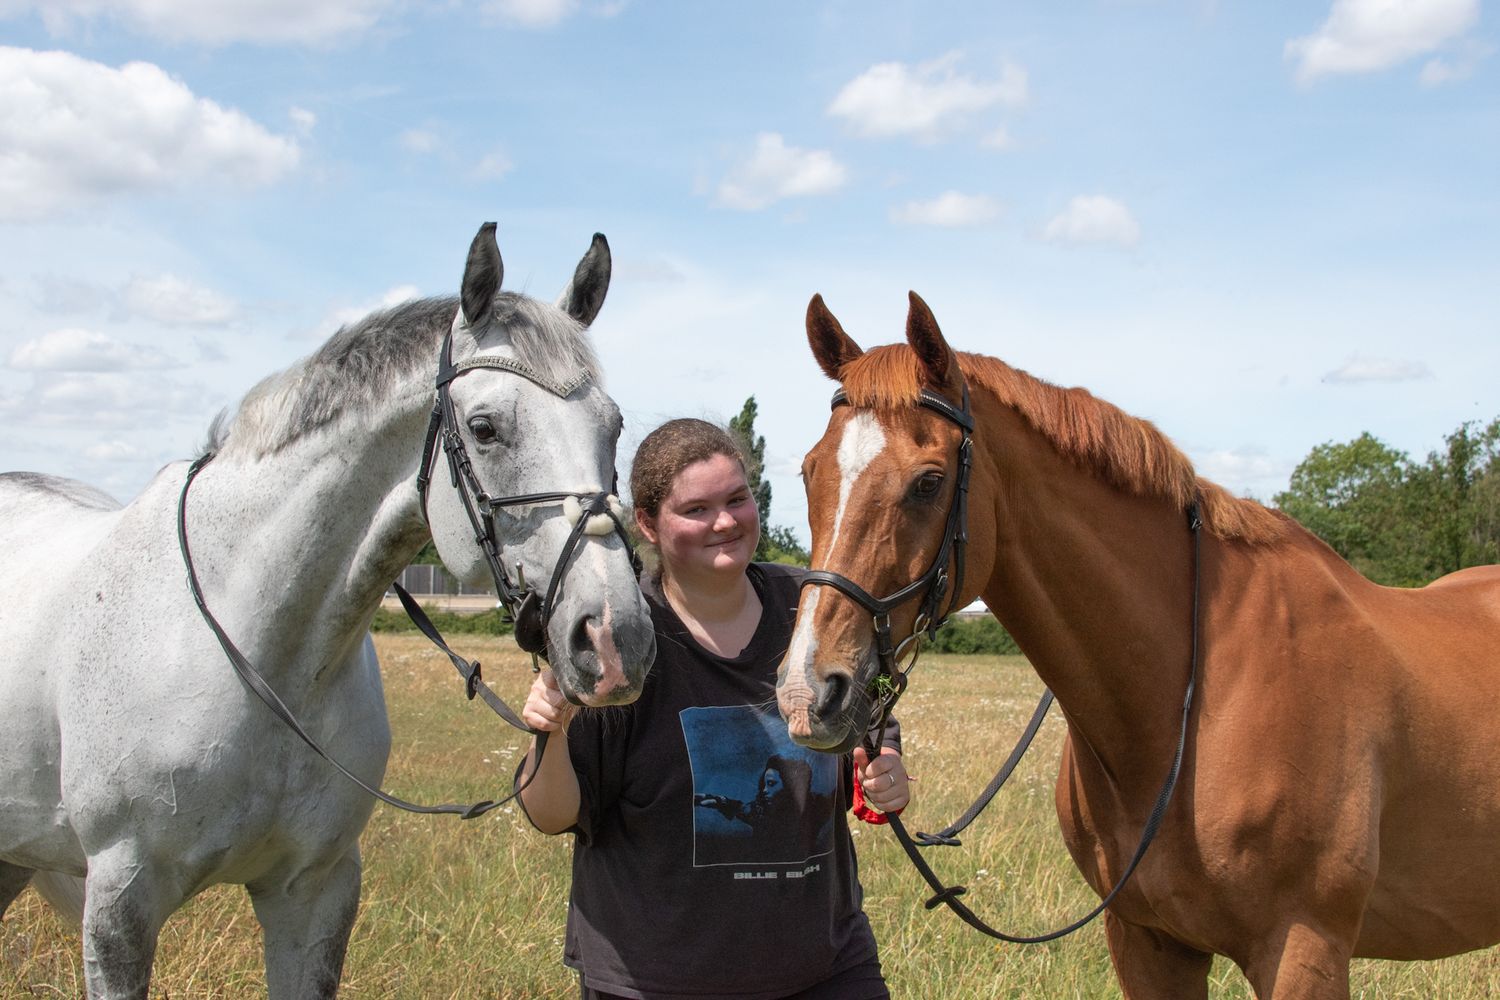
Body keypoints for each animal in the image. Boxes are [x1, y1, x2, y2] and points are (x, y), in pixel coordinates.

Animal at [0, 223, 656, 998]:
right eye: (486, 427)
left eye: (613, 425)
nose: (616, 641)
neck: (260, 651)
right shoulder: (119, 906)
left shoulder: (314, 891)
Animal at [775, 291, 1500, 999]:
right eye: (809, 473)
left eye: (927, 482)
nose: (808, 693)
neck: (1193, 701)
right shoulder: (1146, 942)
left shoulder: (1303, 948)